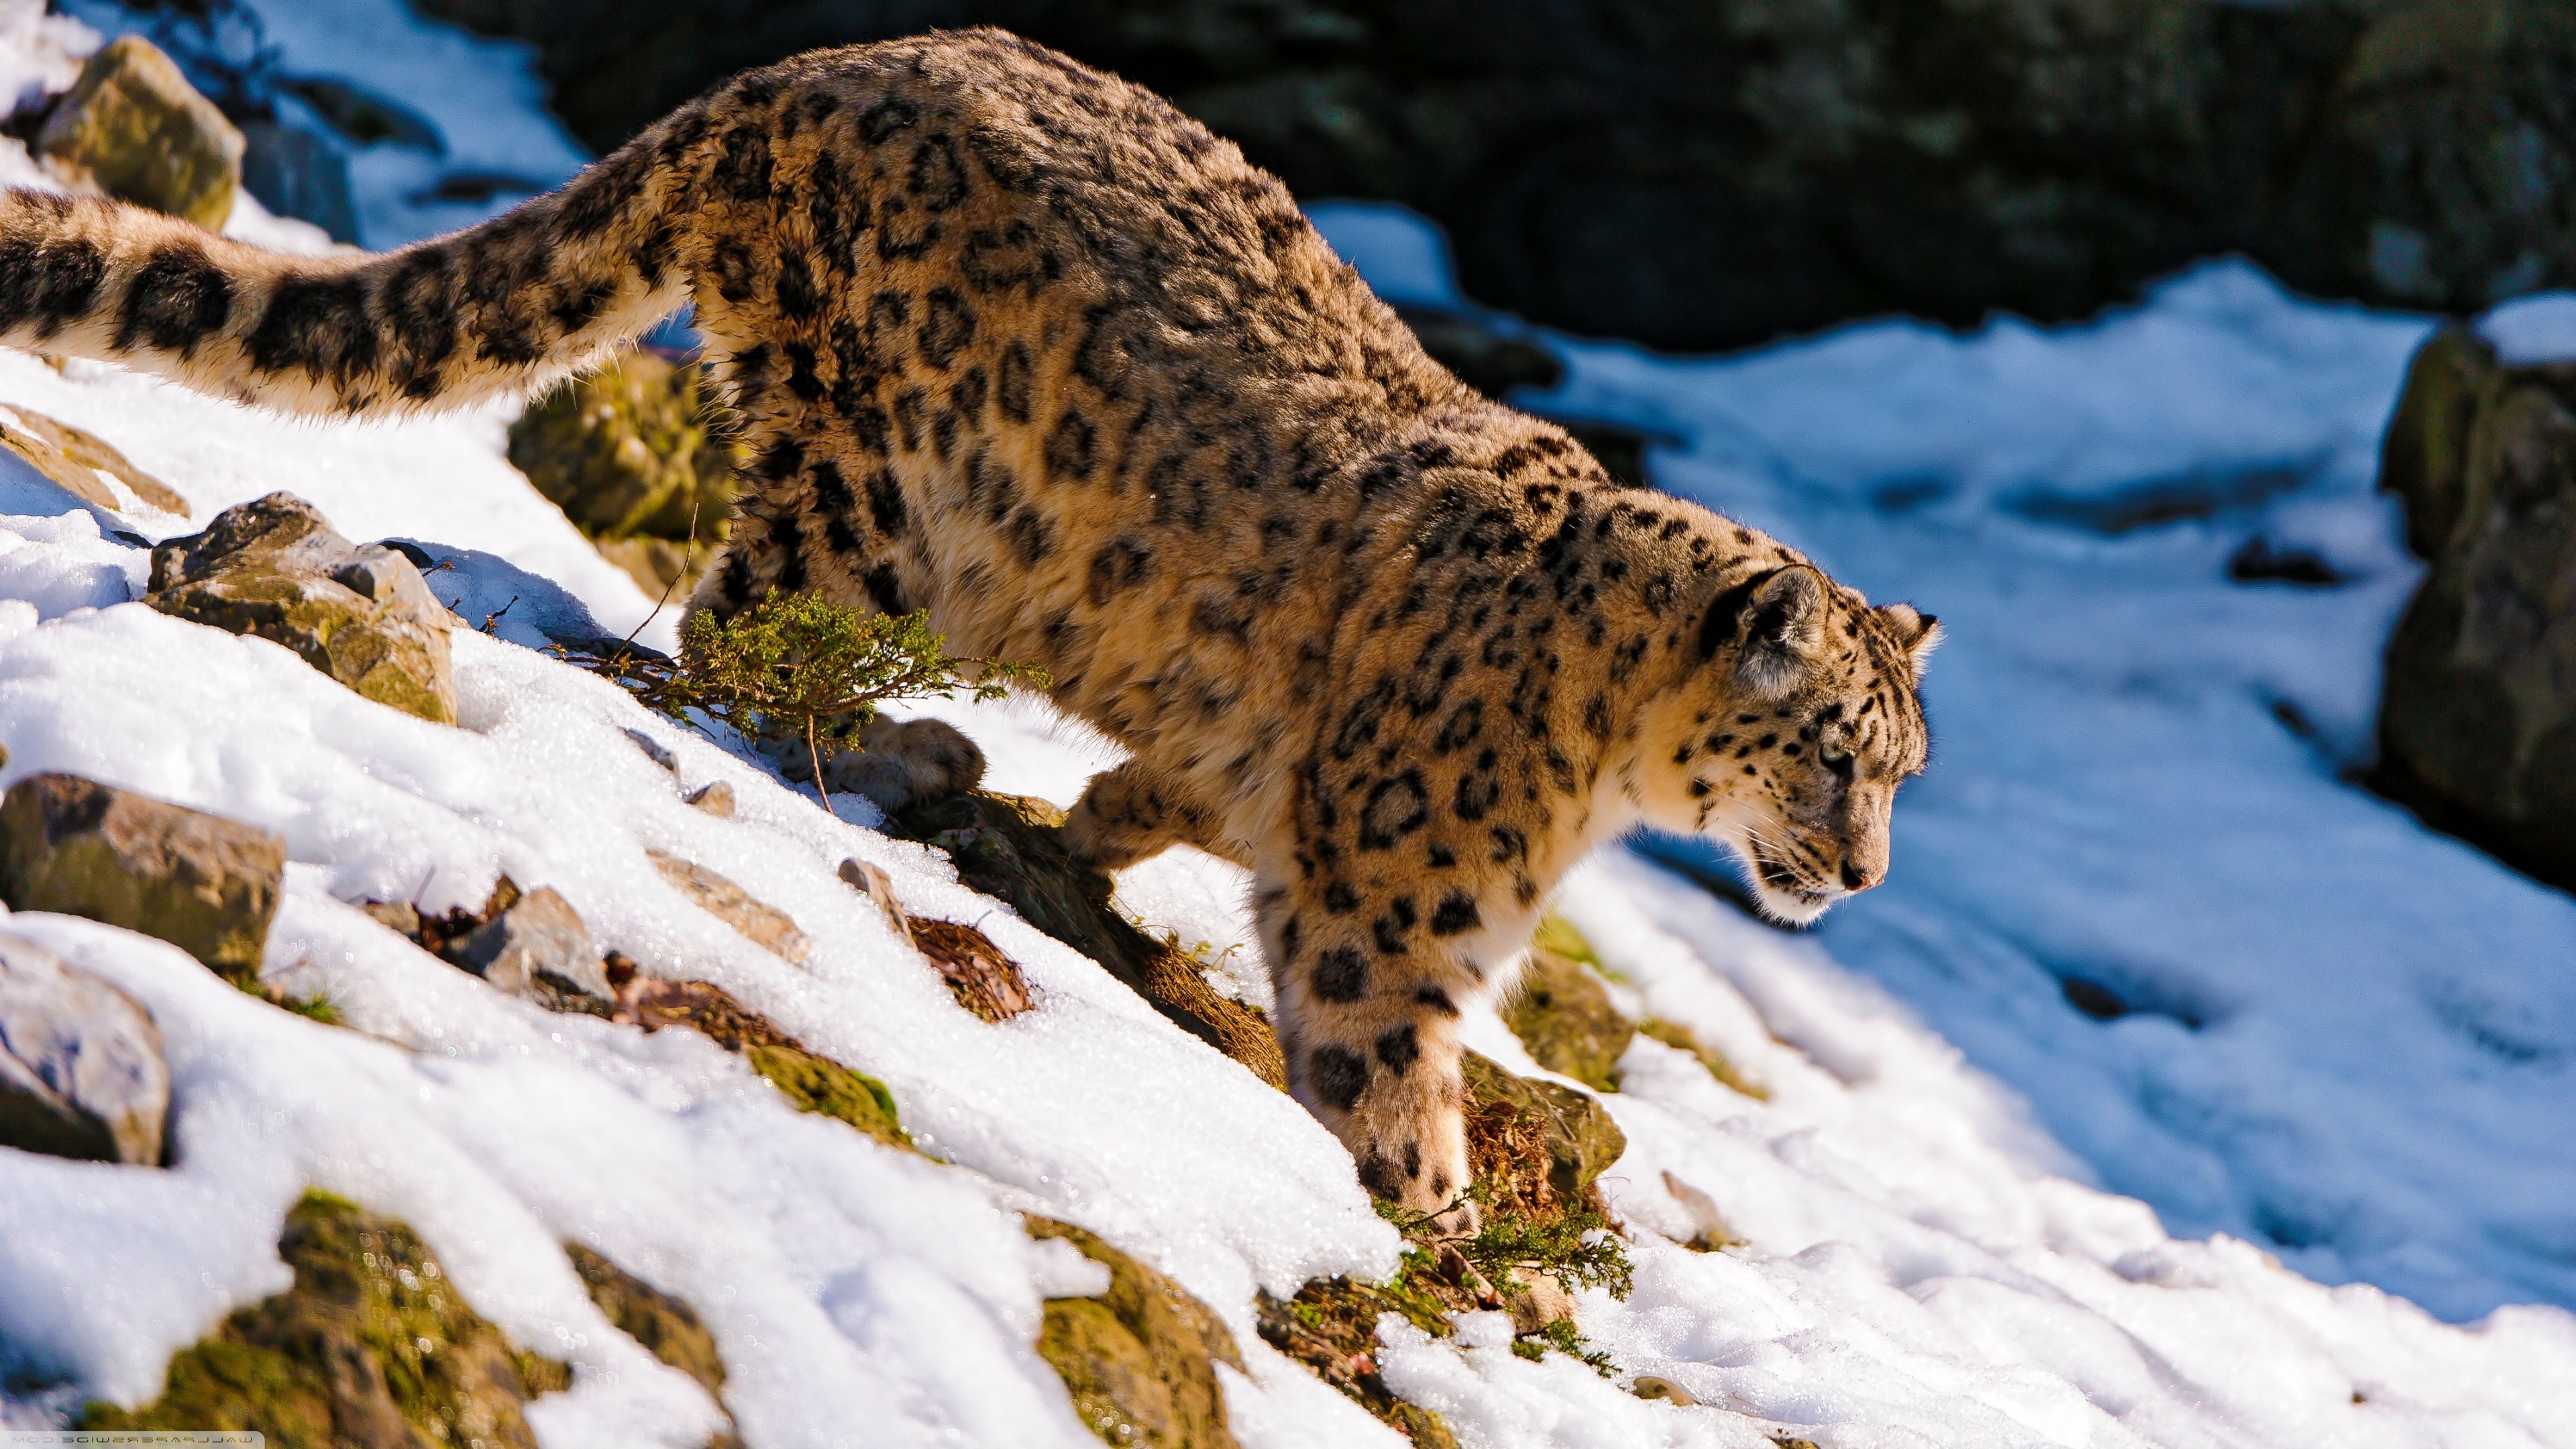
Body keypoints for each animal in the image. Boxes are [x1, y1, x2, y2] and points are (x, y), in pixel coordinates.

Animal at [0, 27, 1938, 1228]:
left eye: (1904, 771)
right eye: (1829, 755)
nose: (1860, 876)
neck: (1602, 767)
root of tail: (796, 73)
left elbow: (1182, 787)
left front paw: (1107, 822)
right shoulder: (1399, 911)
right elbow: (1385, 1064)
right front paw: (1434, 1219)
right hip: (869, 487)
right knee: (739, 631)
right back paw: (907, 741)